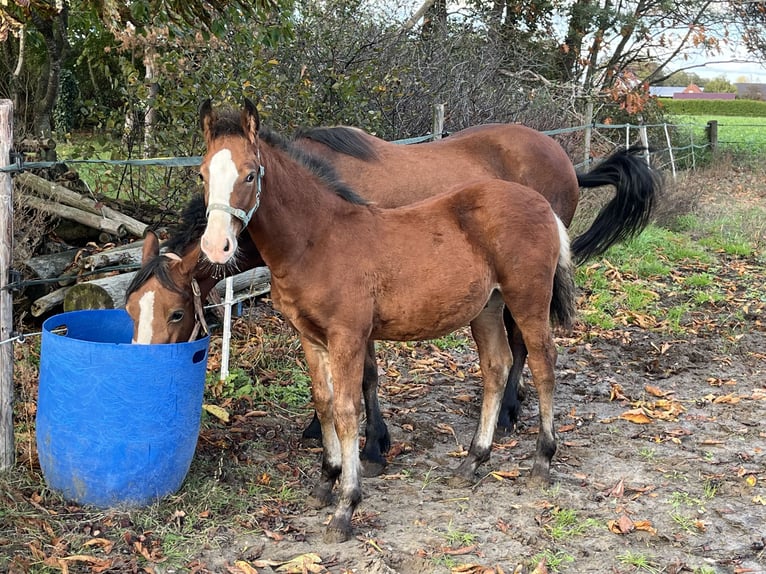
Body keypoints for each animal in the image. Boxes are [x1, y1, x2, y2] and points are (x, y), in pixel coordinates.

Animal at [196, 98, 577, 542]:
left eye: (251, 173)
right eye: (203, 173)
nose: (216, 246)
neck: (318, 239)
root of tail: (543, 205)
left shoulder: (347, 335)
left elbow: (347, 411)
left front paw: (346, 505)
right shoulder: (311, 337)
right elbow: (324, 404)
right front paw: (325, 482)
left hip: (528, 299)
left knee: (543, 363)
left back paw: (542, 461)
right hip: (487, 307)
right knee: (496, 367)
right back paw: (472, 461)